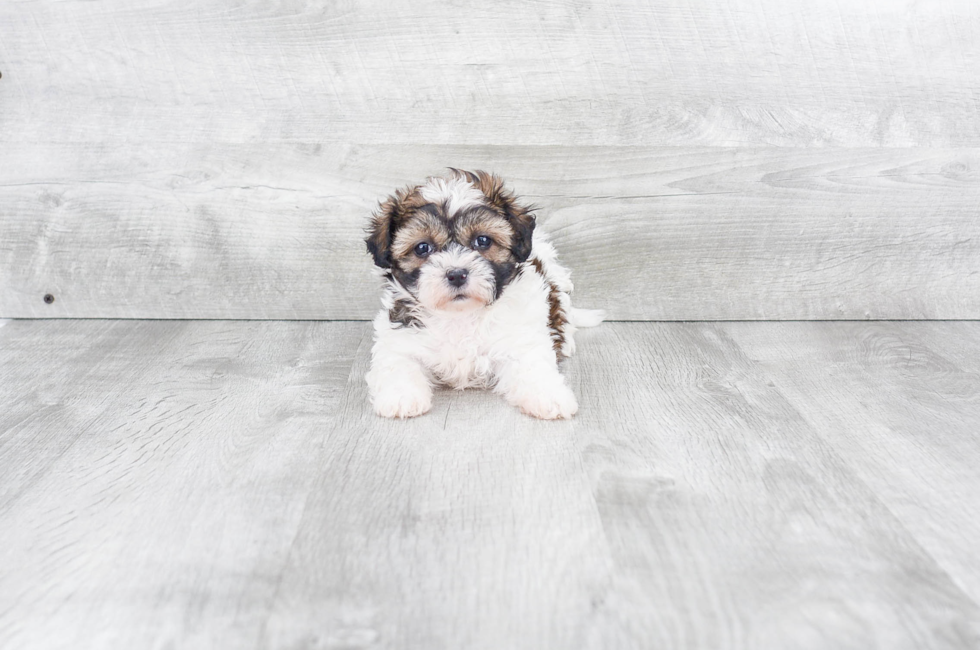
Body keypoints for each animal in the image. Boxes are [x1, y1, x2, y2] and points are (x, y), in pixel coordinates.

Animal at [364, 170, 600, 418]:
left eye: (483, 240)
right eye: (422, 248)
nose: (457, 274)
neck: (460, 315)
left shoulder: (520, 337)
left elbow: (532, 364)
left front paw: (549, 396)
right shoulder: (400, 338)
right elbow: (398, 363)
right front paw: (401, 397)